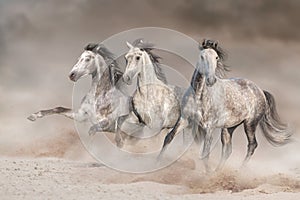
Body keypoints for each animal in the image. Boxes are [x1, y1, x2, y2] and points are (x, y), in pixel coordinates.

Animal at [161, 39, 292, 172]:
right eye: (202, 56)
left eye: (216, 57)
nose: (211, 80)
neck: (198, 95)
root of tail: (261, 91)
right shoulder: (185, 120)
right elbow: (169, 138)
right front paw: (157, 163)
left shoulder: (209, 127)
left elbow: (205, 153)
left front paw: (207, 174)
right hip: (229, 128)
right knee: (227, 149)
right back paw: (218, 171)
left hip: (250, 124)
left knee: (252, 144)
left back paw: (239, 170)